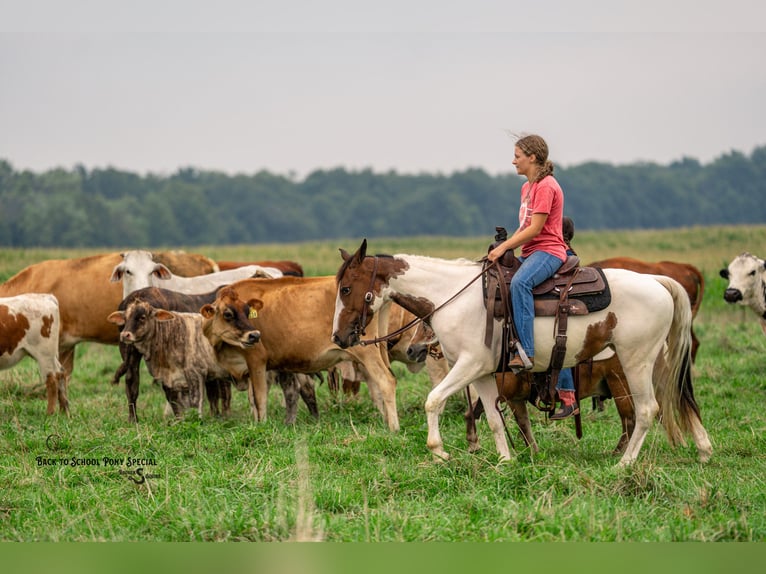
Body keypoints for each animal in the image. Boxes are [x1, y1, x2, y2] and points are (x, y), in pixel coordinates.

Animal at [332, 239, 712, 467]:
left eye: (347, 288)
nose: (339, 336)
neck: (451, 295)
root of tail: (657, 281)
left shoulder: (467, 365)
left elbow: (433, 400)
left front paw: (438, 451)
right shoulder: (483, 373)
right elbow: (494, 419)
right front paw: (505, 461)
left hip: (635, 361)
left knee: (648, 410)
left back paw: (625, 464)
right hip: (658, 362)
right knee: (678, 398)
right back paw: (704, 450)